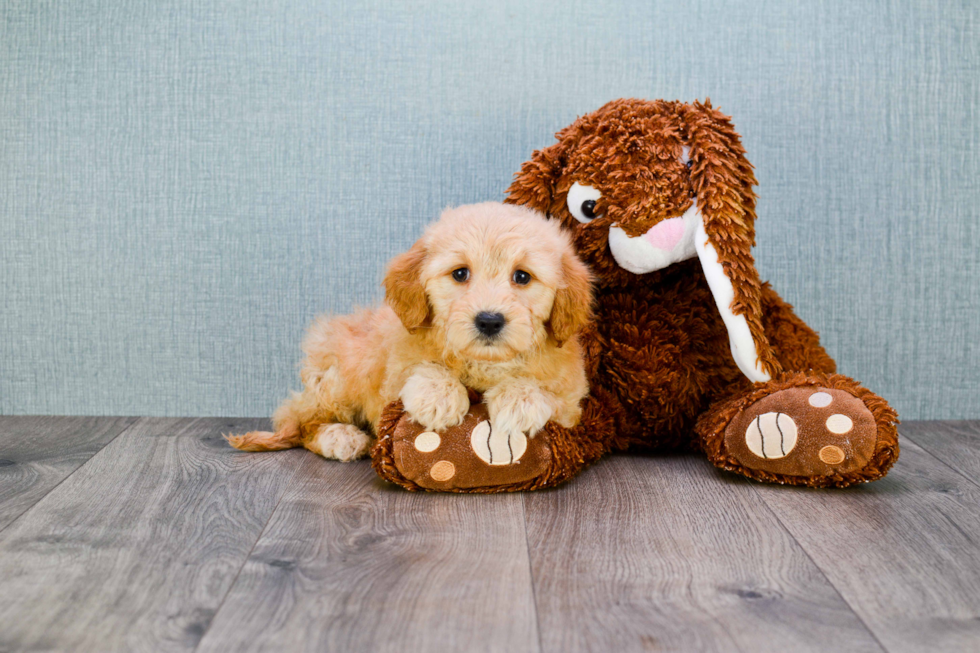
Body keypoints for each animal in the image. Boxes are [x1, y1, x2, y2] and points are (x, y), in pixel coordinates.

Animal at [230, 201, 592, 460]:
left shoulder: (573, 402)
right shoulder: (391, 370)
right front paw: (439, 397)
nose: (489, 320)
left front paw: (520, 399)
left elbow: (549, 392)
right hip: (339, 374)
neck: (483, 363)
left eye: (522, 277)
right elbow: (417, 368)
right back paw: (341, 437)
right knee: (299, 420)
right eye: (460, 273)